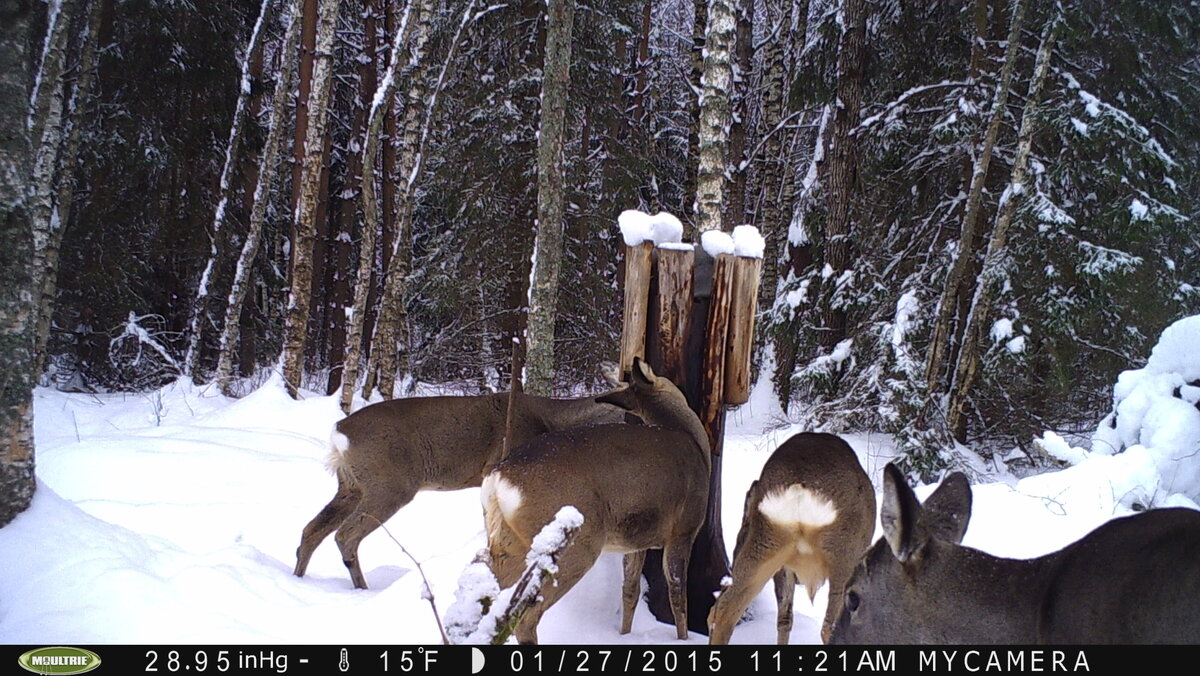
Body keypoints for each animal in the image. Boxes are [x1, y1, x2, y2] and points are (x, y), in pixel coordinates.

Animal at [294, 389, 624, 590]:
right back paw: (362, 588)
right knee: (345, 535)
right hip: (388, 485)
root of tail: (338, 433)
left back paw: (299, 577)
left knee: (312, 529)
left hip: (351, 486)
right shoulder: (498, 462)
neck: (550, 418)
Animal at [477, 357, 705, 643]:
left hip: (507, 541)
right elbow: (678, 595)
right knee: (526, 616)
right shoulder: (685, 528)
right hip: (576, 541)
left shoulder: (636, 539)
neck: (690, 436)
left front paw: (624, 634)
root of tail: (498, 477)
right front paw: (684, 639)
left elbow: (630, 590)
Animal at [705, 434, 878, 643]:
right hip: (844, 555)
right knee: (830, 626)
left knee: (722, 609)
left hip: (765, 543)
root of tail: (799, 487)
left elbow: (784, 617)